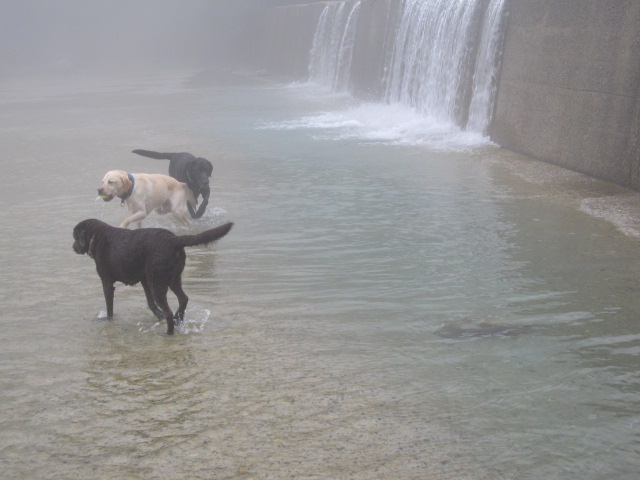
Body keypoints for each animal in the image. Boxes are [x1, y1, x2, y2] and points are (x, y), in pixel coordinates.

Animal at [73, 219, 232, 336]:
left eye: (75, 236)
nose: (73, 247)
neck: (95, 236)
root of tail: (174, 239)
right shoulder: (144, 279)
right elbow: (150, 303)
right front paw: (158, 315)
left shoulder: (106, 282)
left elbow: (109, 307)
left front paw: (107, 319)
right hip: (172, 278)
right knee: (183, 299)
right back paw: (178, 320)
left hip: (158, 282)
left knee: (169, 312)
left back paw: (168, 333)